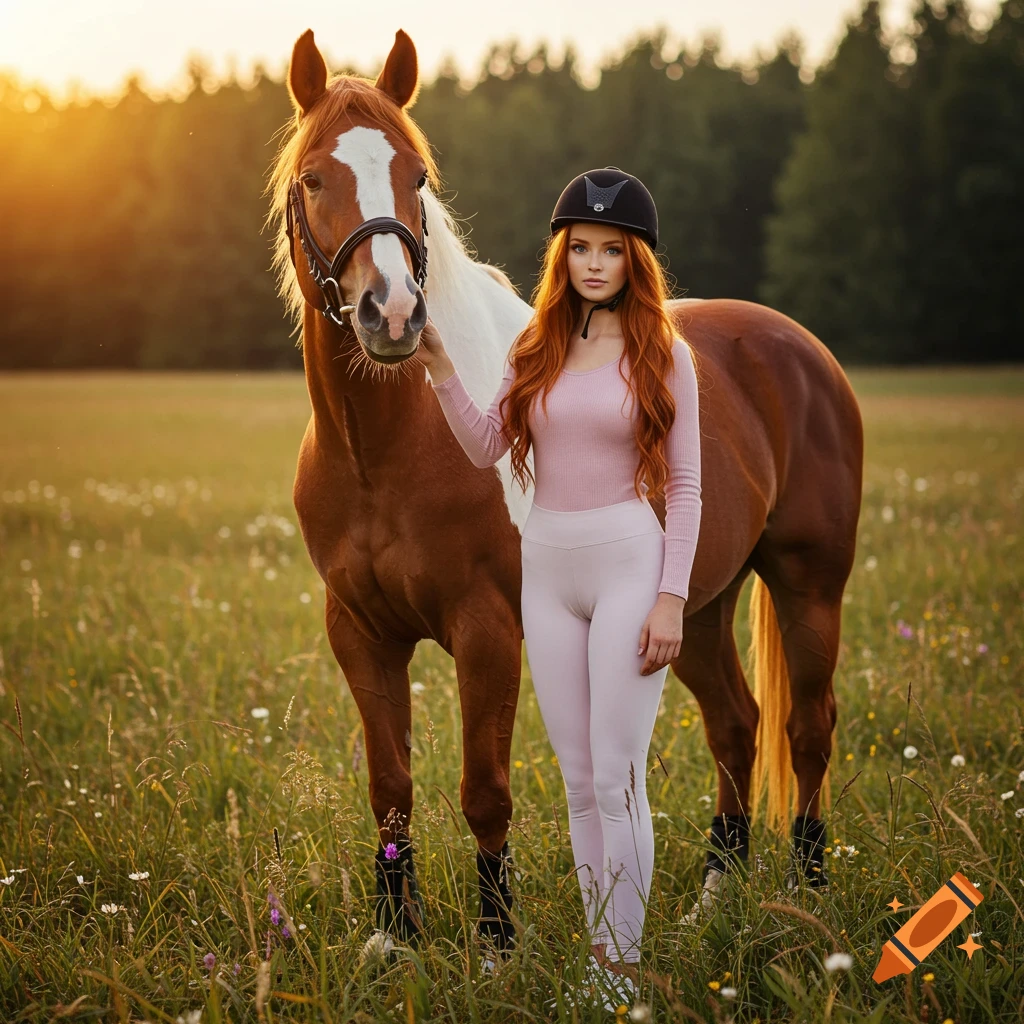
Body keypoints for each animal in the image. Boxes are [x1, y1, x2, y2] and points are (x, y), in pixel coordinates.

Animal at [267, 26, 863, 952]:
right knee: (738, 724)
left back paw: (809, 891)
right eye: (313, 179)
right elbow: (390, 788)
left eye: (416, 176)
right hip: (693, 608)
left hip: (809, 585)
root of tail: (799, 348)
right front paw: (394, 938)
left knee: (807, 728)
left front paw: (496, 946)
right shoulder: (360, 635)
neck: (386, 451)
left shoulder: (487, 630)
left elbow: (484, 792)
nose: (393, 315)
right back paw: (713, 898)